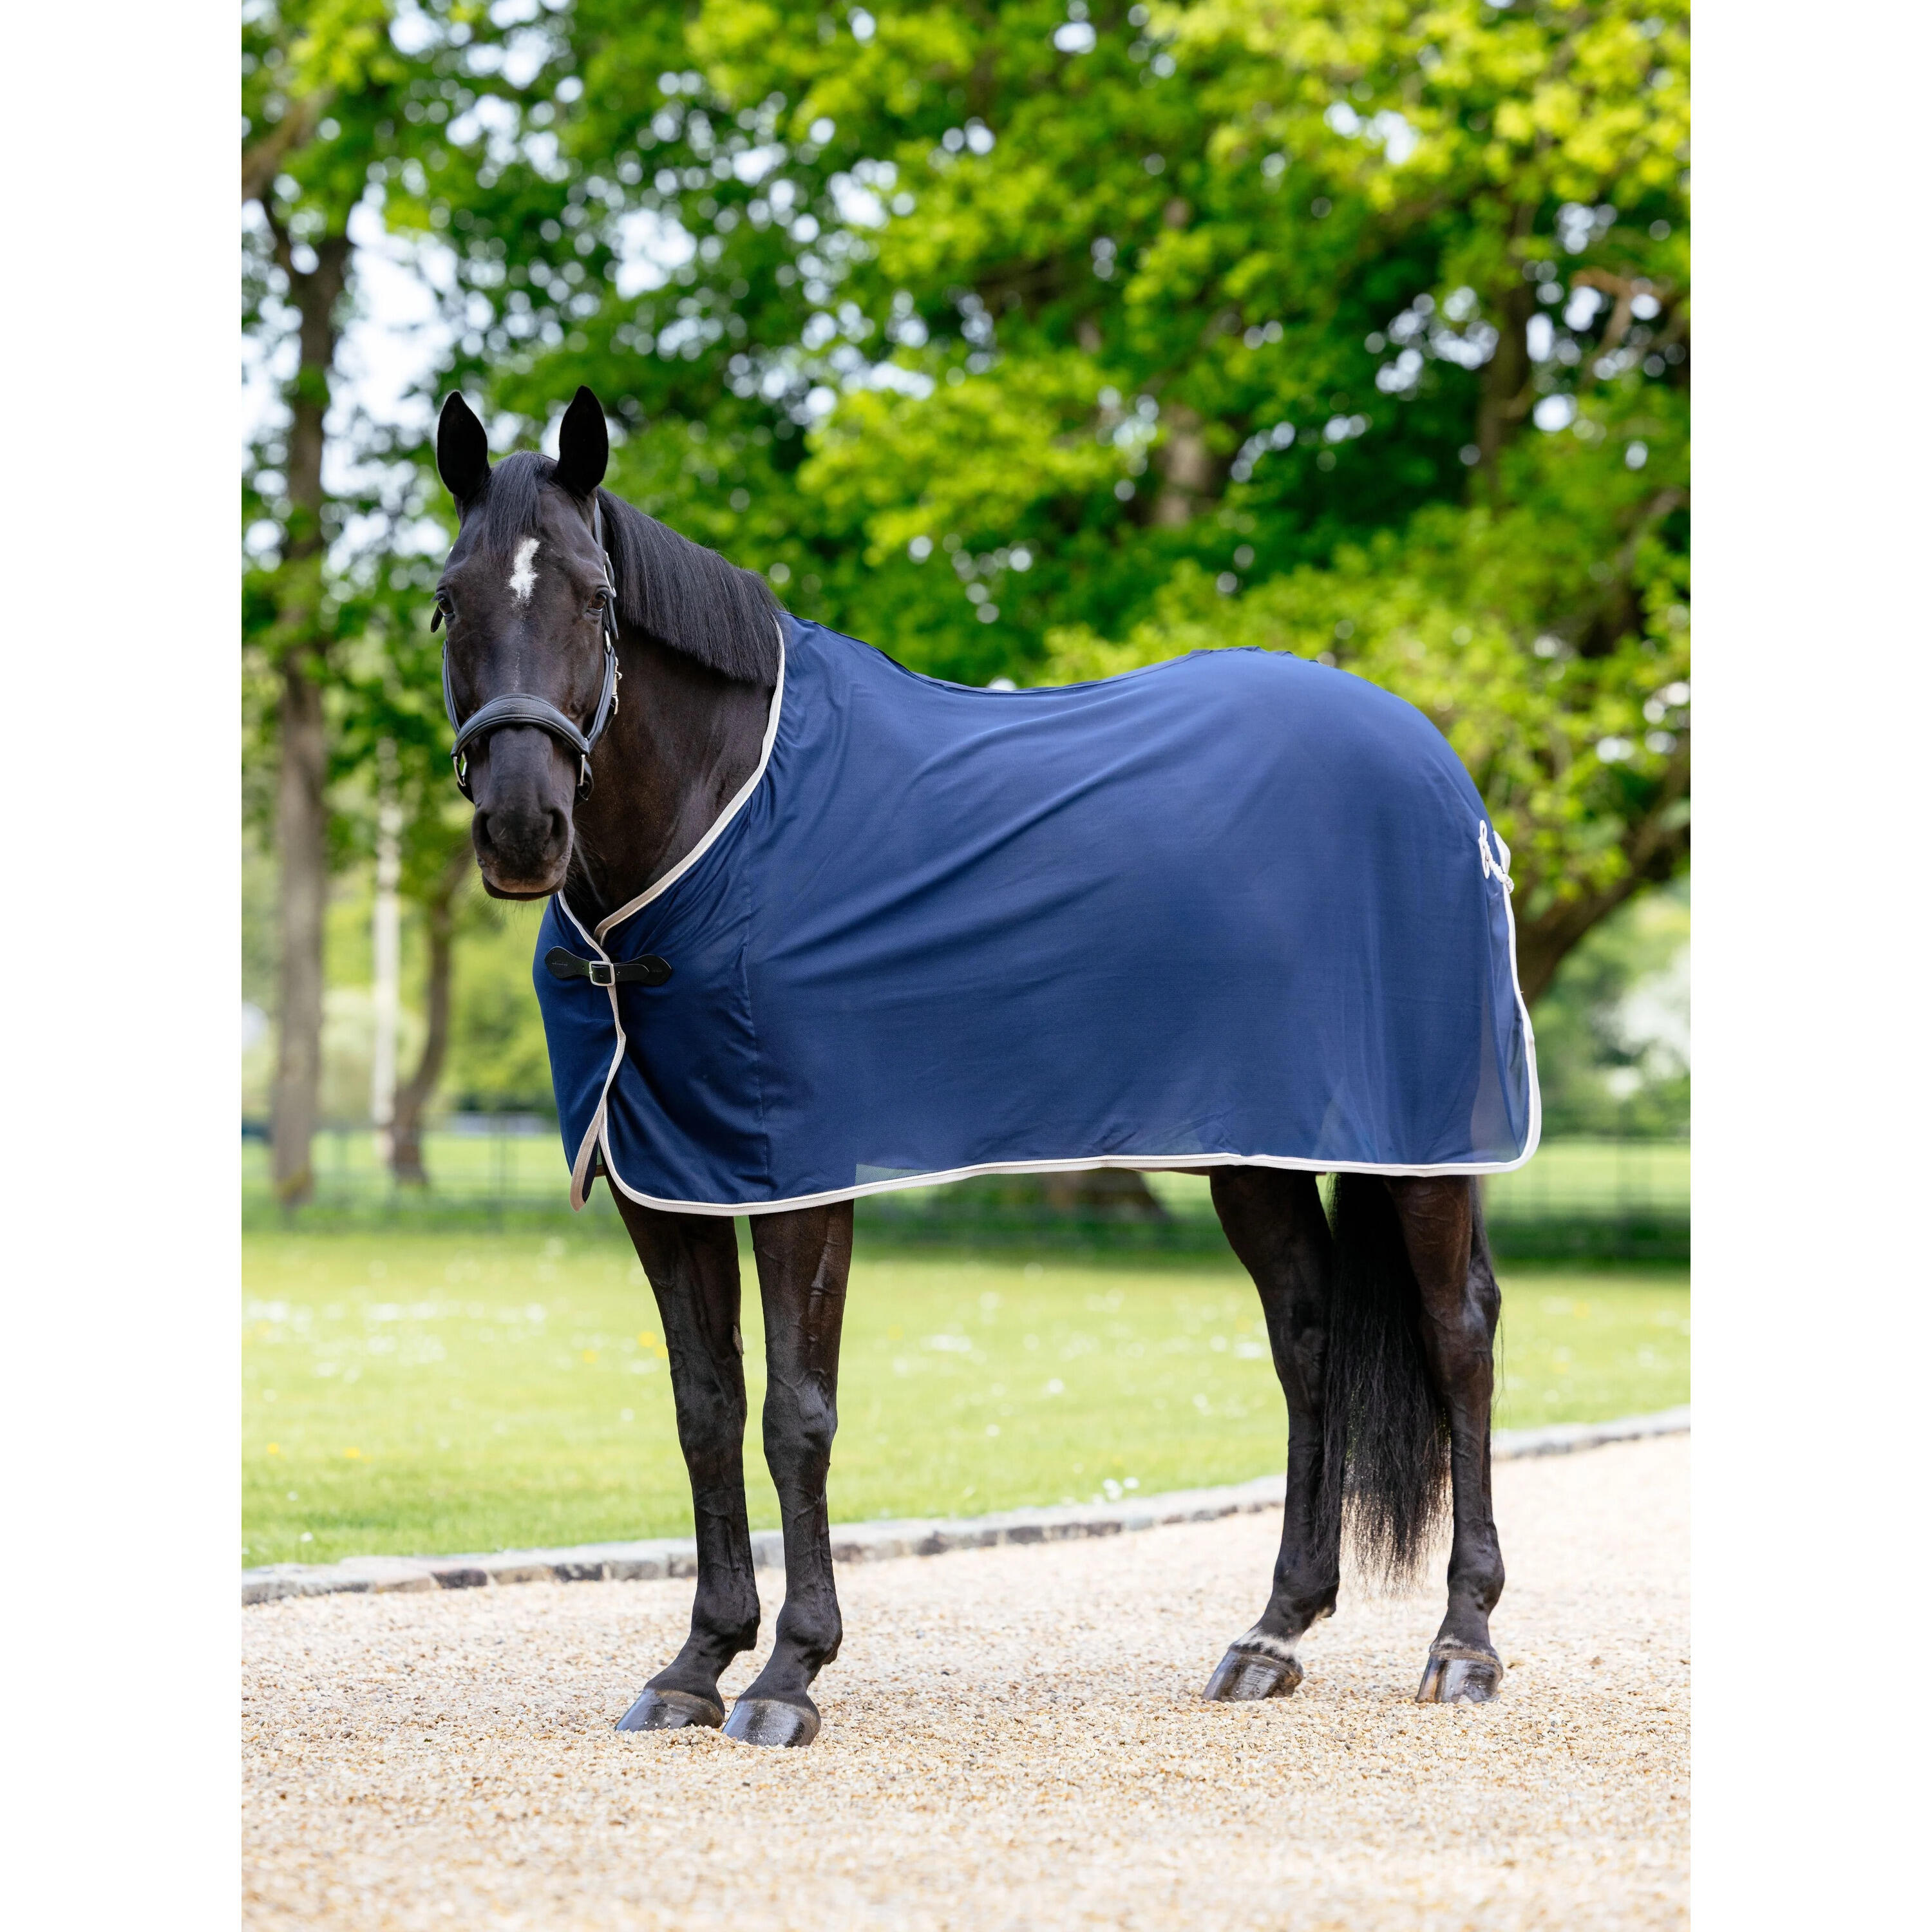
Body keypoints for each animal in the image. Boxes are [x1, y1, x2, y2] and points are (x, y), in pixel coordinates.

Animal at [429, 385, 1532, 1748]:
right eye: (450, 599)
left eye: (593, 598)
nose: (522, 826)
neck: (722, 820)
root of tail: (1441, 773)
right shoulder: (664, 1182)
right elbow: (705, 1410)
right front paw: (695, 1664)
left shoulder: (800, 1178)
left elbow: (796, 1415)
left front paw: (789, 1676)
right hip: (1255, 1150)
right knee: (1311, 1337)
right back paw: (1273, 1633)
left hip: (1423, 1147)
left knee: (1459, 1335)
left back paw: (1465, 1642)